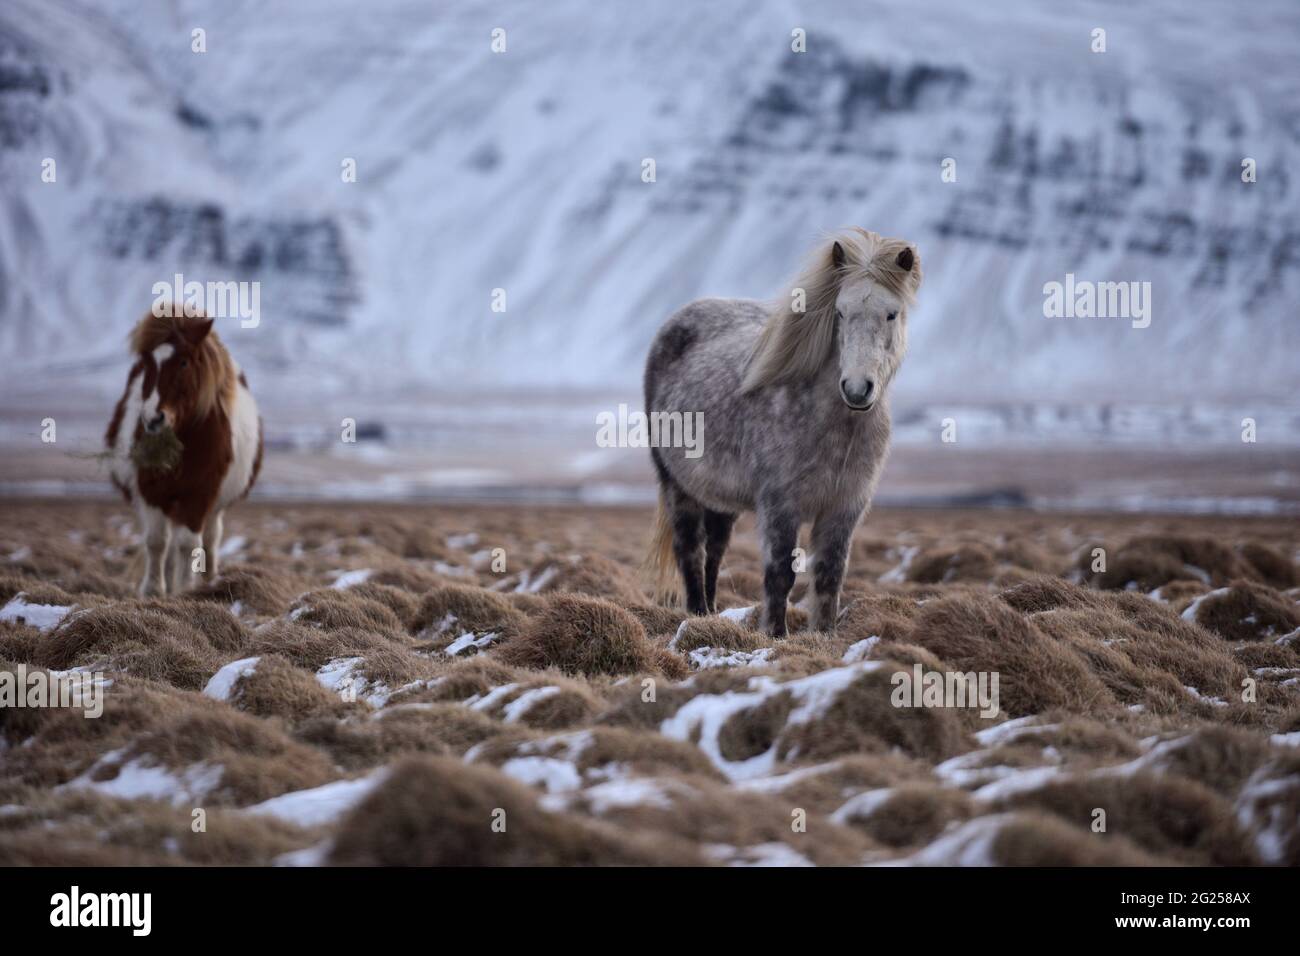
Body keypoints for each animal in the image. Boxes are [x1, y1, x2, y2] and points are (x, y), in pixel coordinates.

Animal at [105, 308, 263, 596]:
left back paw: (208, 579)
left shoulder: (199, 494)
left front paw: (185, 589)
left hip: (213, 506)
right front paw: (153, 590)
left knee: (210, 539)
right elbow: (157, 541)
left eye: (184, 362)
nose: (153, 418)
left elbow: (189, 544)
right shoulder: (151, 492)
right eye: (146, 363)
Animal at [643, 229, 922, 637]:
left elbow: (830, 574)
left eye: (892, 313)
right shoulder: (780, 504)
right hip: (677, 486)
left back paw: (710, 614)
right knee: (690, 550)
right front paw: (775, 634)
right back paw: (696, 613)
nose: (857, 389)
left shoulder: (845, 506)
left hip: (720, 500)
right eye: (840, 312)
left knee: (715, 552)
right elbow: (780, 574)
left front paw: (823, 634)